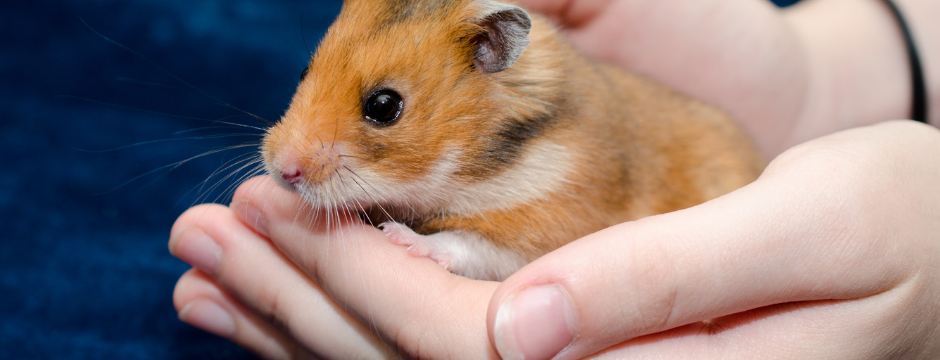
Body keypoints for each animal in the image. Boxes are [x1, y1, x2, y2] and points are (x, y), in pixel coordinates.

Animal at [258, 0, 764, 282]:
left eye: (383, 106)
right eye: (304, 71)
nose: (282, 170)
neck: (477, 165)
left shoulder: (552, 224)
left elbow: (470, 244)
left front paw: (402, 239)